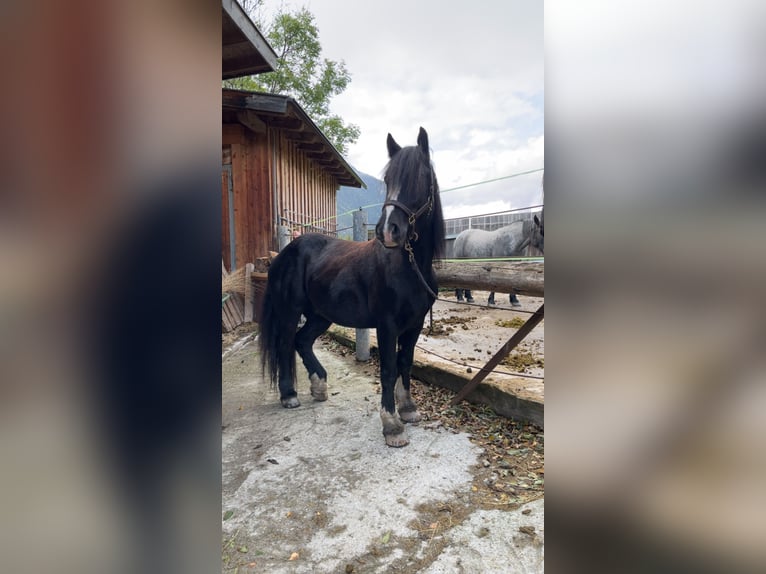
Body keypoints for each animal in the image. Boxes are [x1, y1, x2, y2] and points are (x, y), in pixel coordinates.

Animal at [260, 128, 448, 448]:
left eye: (420, 177)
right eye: (388, 180)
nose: (388, 231)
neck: (410, 267)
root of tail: (285, 253)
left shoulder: (415, 324)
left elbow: (406, 362)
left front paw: (408, 409)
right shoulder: (387, 325)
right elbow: (388, 369)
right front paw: (392, 425)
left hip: (320, 315)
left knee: (302, 341)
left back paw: (319, 386)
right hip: (289, 311)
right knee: (285, 344)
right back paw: (289, 395)